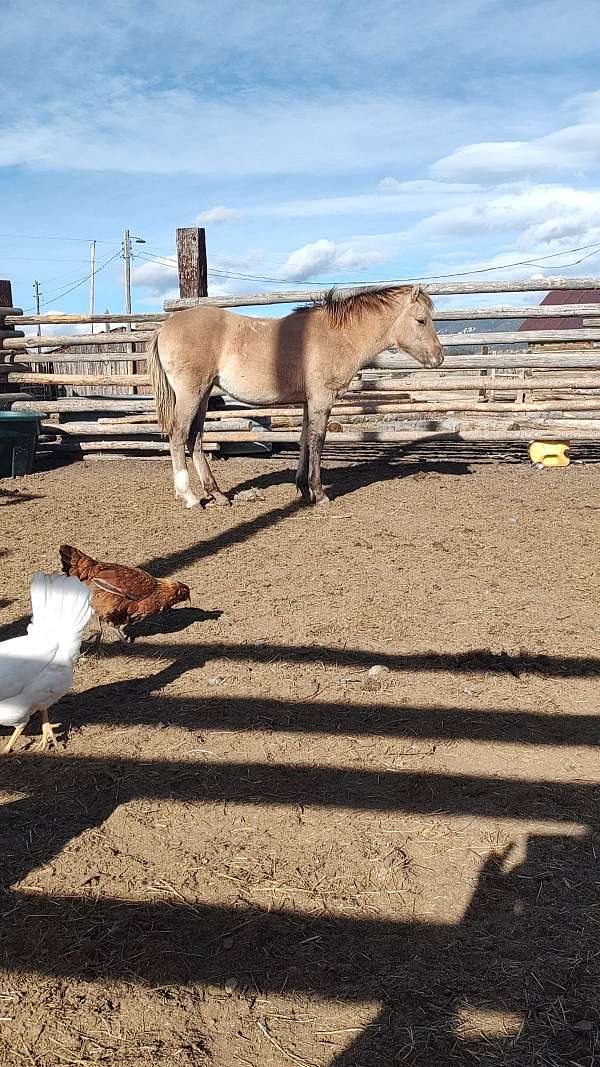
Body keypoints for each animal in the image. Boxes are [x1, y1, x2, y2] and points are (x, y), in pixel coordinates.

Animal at [147, 283, 441, 507]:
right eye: (421, 320)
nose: (438, 357)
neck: (336, 336)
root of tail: (164, 328)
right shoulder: (322, 398)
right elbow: (318, 440)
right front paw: (319, 494)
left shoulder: (308, 401)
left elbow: (303, 439)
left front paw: (301, 487)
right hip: (191, 393)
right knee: (179, 435)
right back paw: (190, 497)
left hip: (204, 393)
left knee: (195, 437)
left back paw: (217, 494)